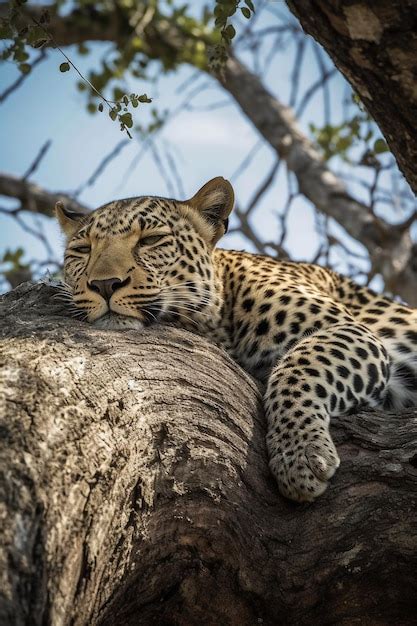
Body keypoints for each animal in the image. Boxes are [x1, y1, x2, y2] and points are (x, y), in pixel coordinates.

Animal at [55, 176, 416, 502]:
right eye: (82, 250)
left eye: (151, 240)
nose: (104, 284)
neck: (221, 317)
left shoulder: (349, 329)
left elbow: (300, 366)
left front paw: (299, 453)